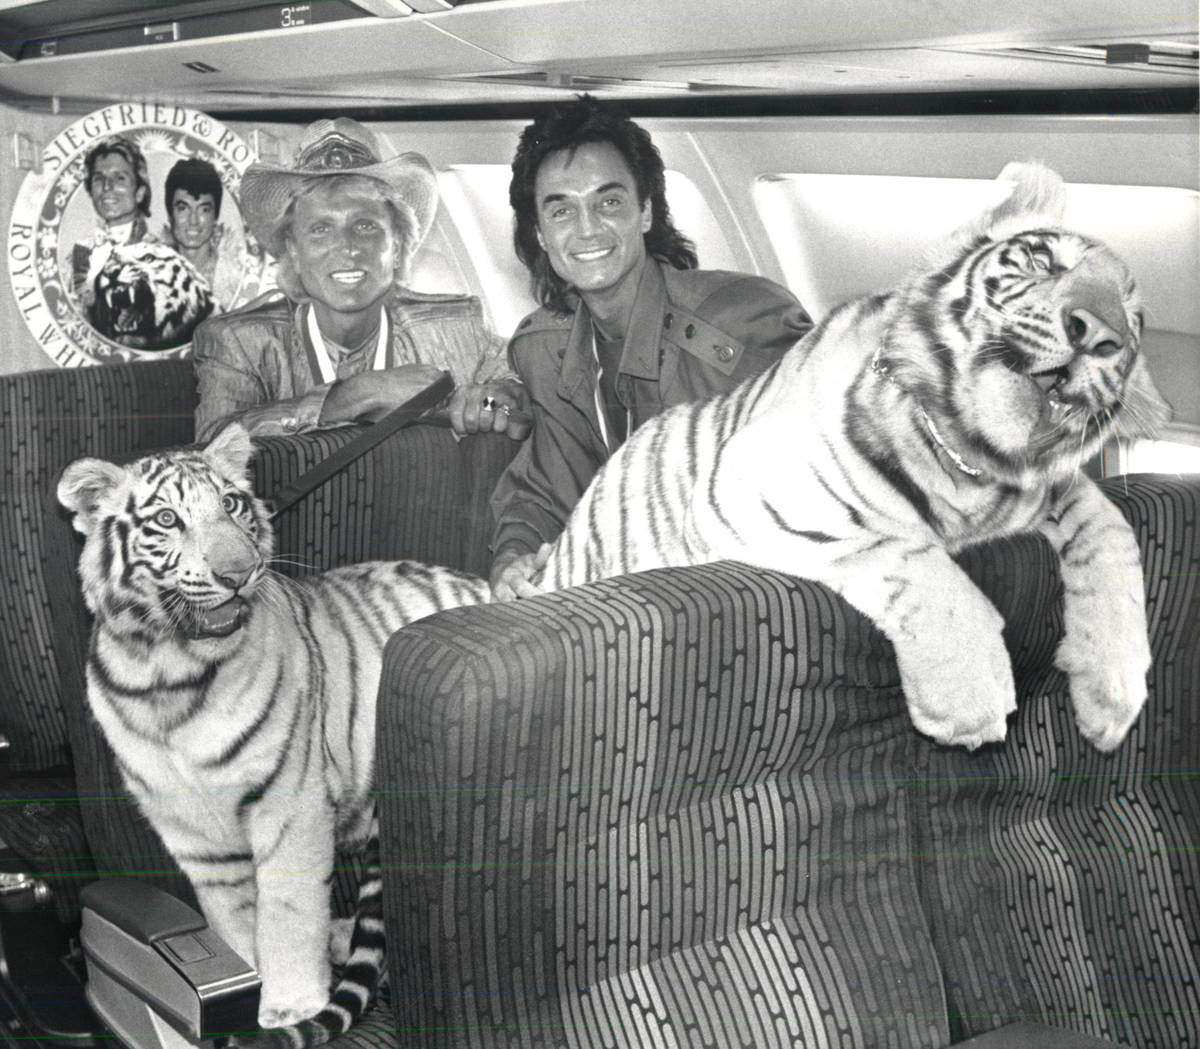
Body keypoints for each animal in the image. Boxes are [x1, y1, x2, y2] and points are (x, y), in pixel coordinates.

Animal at [58, 422, 489, 1036]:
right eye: (166, 519)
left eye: (232, 505)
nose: (238, 573)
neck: (169, 674)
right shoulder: (194, 834)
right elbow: (234, 920)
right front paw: (252, 983)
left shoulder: (290, 802)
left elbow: (288, 911)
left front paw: (291, 1005)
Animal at [537, 162, 1171, 753]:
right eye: (1042, 261)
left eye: (1134, 320)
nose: (1098, 332)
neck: (970, 461)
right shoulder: (753, 485)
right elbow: (902, 549)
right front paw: (969, 695)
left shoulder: (1060, 488)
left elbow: (1111, 533)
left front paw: (1114, 694)